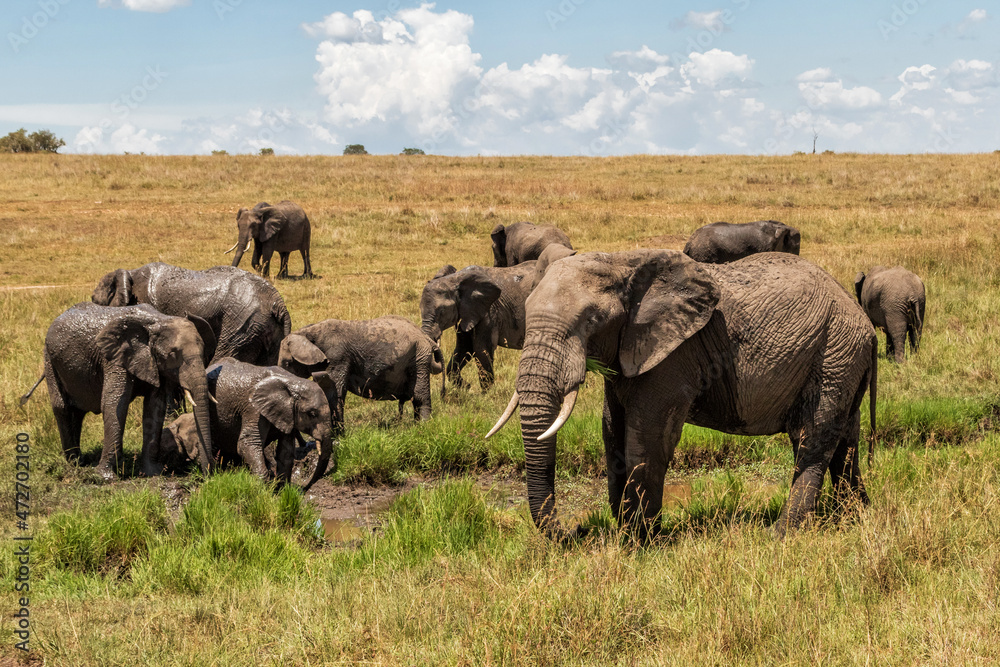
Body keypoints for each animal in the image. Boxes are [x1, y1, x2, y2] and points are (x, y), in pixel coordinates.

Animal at [27, 303, 216, 480]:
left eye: (203, 352)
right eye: (172, 354)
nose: (208, 475)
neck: (159, 320)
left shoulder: (155, 365)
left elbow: (154, 408)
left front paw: (153, 473)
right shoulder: (114, 357)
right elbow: (115, 404)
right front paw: (104, 477)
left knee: (77, 413)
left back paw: (79, 460)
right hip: (49, 358)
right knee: (62, 408)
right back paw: (74, 464)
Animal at [185, 358, 335, 490]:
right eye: (312, 414)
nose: (306, 486)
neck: (291, 381)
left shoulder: (288, 414)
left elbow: (286, 452)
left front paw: (282, 491)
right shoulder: (253, 409)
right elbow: (247, 443)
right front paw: (263, 489)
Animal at [278, 316, 444, 433]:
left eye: (287, 364)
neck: (308, 332)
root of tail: (426, 337)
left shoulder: (337, 357)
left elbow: (334, 393)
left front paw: (338, 438)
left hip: (419, 357)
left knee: (420, 396)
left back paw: (423, 427)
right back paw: (416, 426)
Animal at [420, 261, 540, 392]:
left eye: (442, 312)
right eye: (420, 309)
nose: (443, 391)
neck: (455, 279)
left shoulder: (489, 312)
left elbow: (480, 349)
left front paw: (486, 395)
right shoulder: (466, 313)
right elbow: (464, 348)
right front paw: (466, 387)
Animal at [487, 250, 877, 542]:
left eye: (592, 320)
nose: (579, 530)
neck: (622, 262)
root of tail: (865, 322)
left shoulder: (674, 354)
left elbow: (646, 439)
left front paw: (640, 542)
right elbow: (612, 430)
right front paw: (626, 530)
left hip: (833, 353)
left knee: (813, 439)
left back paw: (782, 534)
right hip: (843, 357)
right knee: (845, 441)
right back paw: (854, 518)